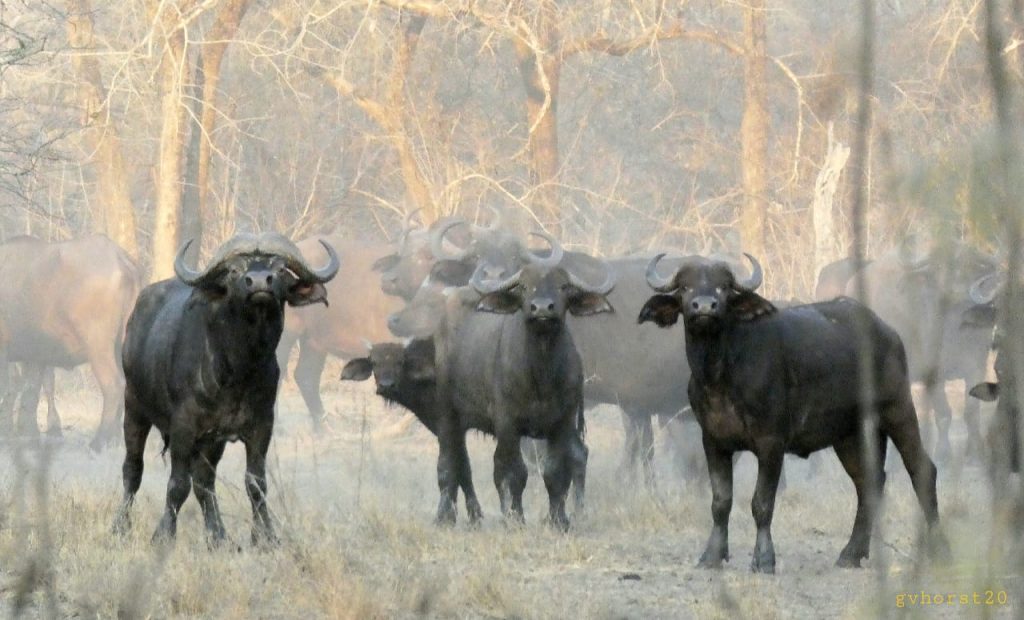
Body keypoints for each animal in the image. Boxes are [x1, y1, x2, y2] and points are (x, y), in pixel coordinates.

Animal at [0, 235, 140, 449]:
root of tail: (120, 259)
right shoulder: (35, 357)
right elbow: (31, 392)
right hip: (122, 347)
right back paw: (116, 438)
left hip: (99, 347)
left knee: (113, 385)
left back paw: (99, 441)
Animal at [114, 233, 339, 543]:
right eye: (234, 270)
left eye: (280, 268)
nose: (259, 282)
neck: (239, 369)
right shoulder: (183, 427)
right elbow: (177, 484)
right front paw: (164, 535)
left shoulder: (260, 426)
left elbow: (256, 483)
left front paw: (265, 537)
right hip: (134, 407)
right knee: (133, 469)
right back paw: (120, 526)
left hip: (211, 441)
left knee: (204, 481)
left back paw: (218, 536)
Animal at [640, 253, 947, 572]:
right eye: (685, 287)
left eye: (723, 287)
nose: (704, 307)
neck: (720, 374)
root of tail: (888, 332)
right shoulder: (713, 441)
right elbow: (721, 501)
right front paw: (712, 555)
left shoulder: (771, 442)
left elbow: (762, 503)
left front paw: (764, 559)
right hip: (848, 435)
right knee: (870, 482)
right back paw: (852, 553)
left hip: (897, 408)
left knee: (922, 469)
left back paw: (939, 549)